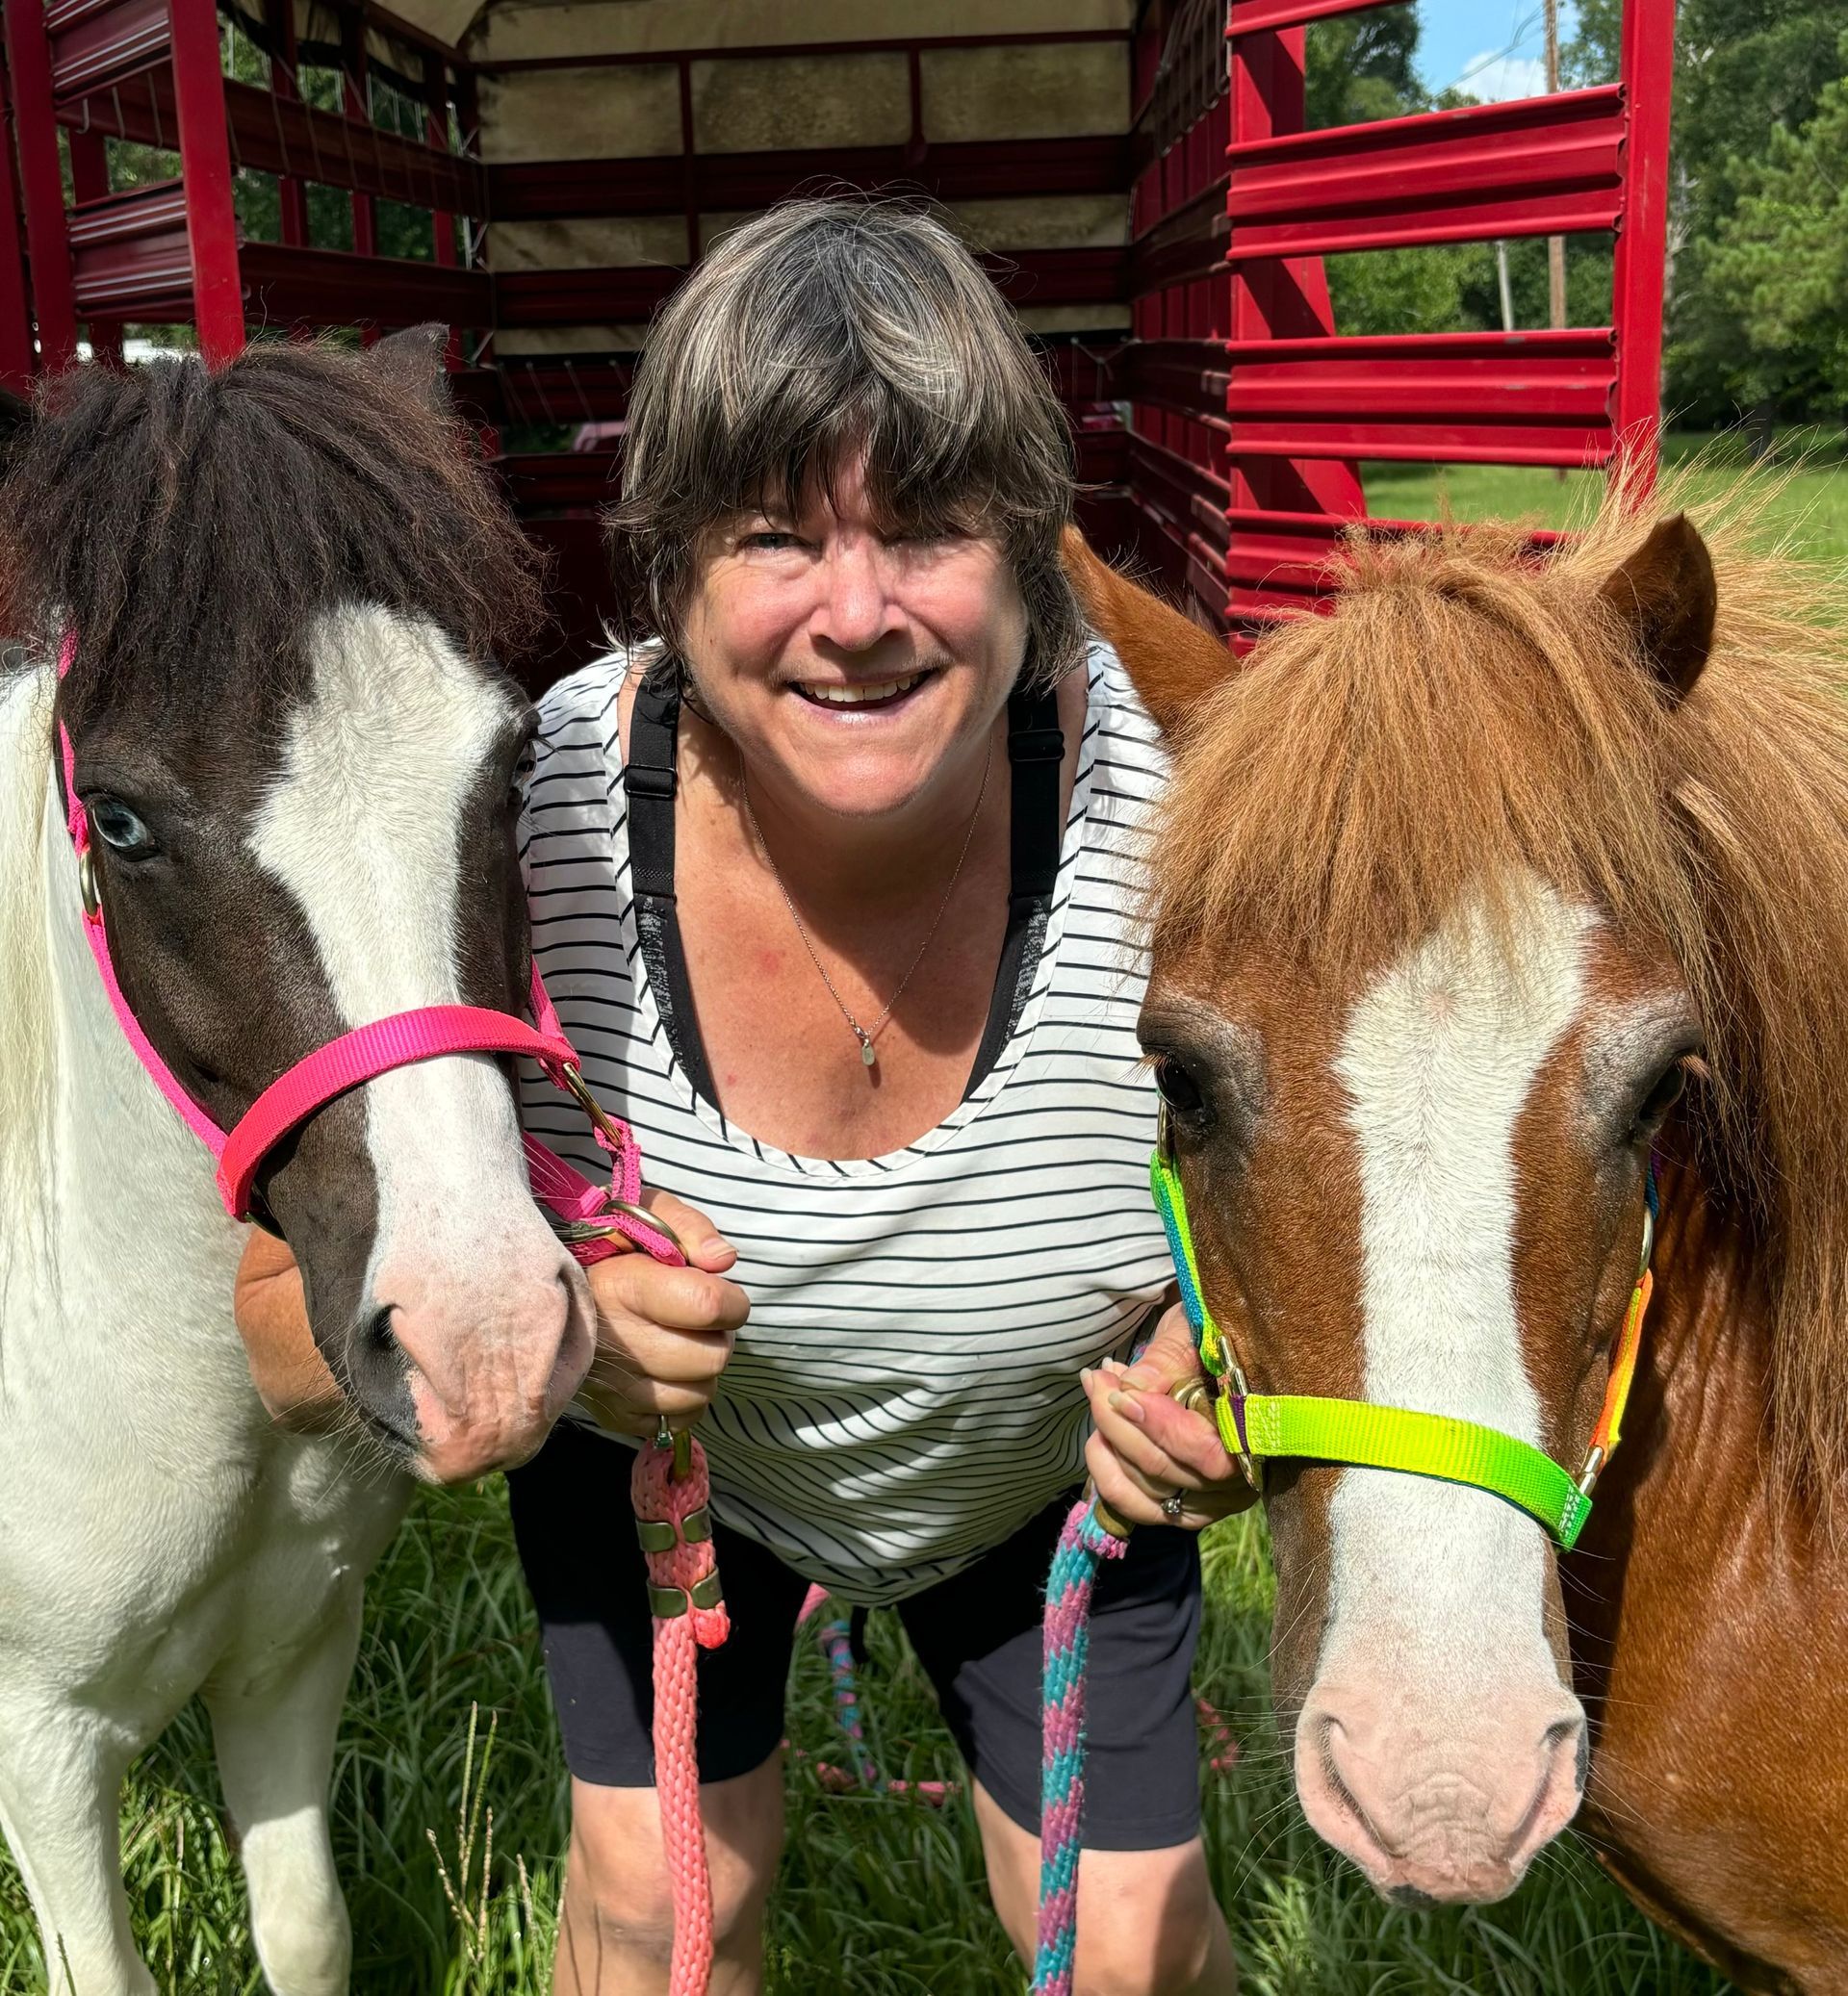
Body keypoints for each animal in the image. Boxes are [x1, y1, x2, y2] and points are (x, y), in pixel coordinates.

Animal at [0, 335, 599, 1995]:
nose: (485, 1341)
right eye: (123, 819)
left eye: (511, 757)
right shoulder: (41, 1747)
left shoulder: (289, 1649)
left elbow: (307, 1929)